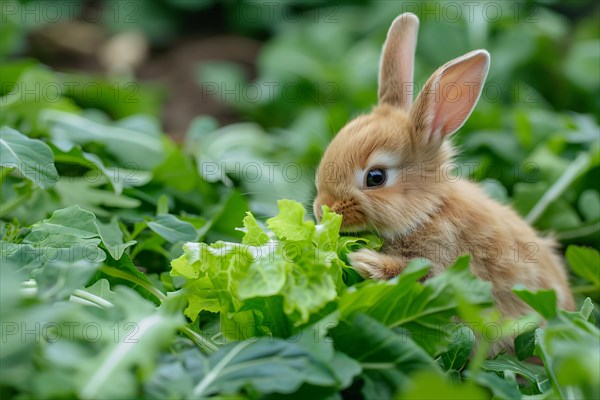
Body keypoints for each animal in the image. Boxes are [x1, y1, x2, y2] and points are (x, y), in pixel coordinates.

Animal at [312, 13, 576, 318]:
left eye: (375, 177)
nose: (322, 210)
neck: (430, 211)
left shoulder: (447, 257)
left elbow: (419, 275)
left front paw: (364, 260)